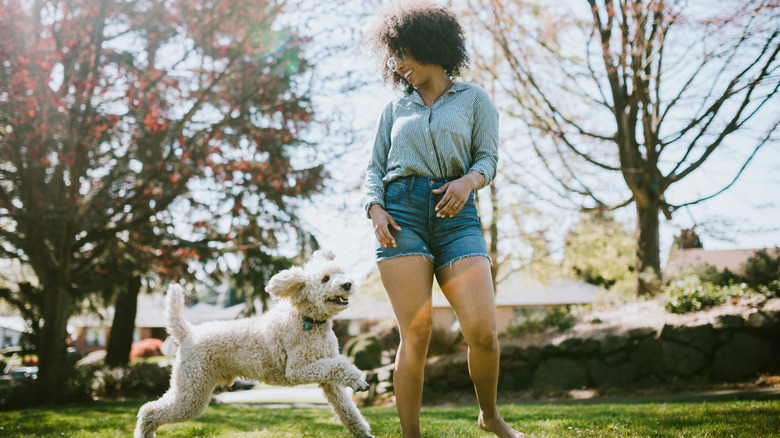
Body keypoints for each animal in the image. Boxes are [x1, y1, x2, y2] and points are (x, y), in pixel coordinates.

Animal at [135, 250, 374, 438]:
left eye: (341, 272)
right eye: (325, 278)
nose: (347, 284)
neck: (308, 320)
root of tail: (187, 332)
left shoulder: (328, 379)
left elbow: (346, 409)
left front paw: (362, 432)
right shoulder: (298, 370)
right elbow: (340, 366)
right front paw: (357, 379)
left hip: (188, 387)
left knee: (151, 409)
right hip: (191, 392)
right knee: (149, 410)